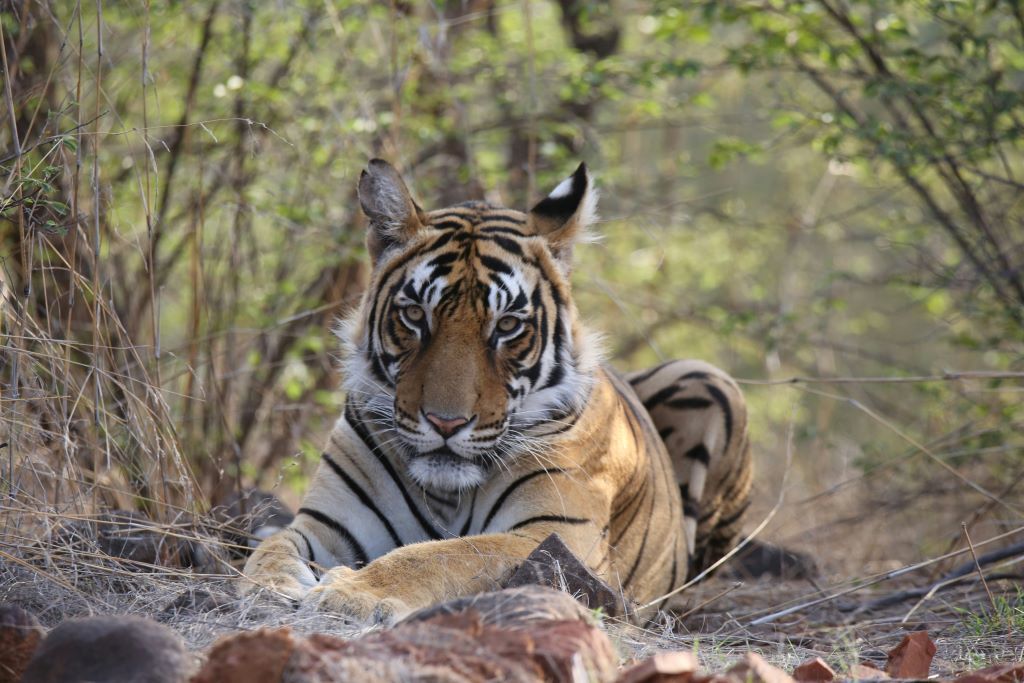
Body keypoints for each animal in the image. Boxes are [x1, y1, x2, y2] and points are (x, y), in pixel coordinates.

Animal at [239, 160, 753, 626]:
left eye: (507, 326)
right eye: (415, 315)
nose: (445, 423)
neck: (445, 492)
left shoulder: (552, 534)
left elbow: (443, 554)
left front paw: (351, 594)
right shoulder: (325, 522)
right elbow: (273, 546)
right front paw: (270, 585)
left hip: (708, 378)